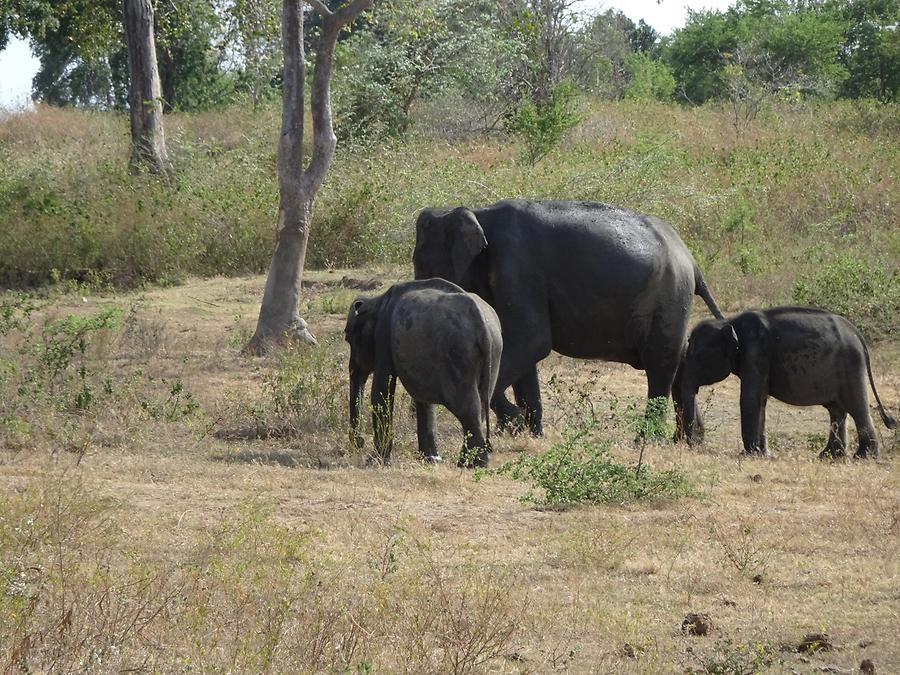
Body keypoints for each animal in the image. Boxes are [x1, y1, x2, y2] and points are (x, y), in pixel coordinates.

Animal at [344, 278, 502, 468]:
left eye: (349, 338)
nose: (359, 442)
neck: (377, 300)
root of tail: (482, 326)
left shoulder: (383, 336)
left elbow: (381, 391)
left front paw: (375, 461)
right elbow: (422, 400)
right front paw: (431, 459)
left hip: (457, 352)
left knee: (468, 407)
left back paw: (472, 464)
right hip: (494, 353)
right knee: (482, 403)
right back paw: (469, 462)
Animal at [414, 198, 724, 436]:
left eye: (420, 264)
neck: (479, 213)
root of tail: (691, 261)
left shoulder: (517, 266)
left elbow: (531, 340)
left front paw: (514, 422)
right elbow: (521, 348)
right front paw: (530, 432)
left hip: (669, 298)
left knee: (661, 364)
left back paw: (648, 441)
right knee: (679, 362)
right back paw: (691, 439)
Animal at [672, 308, 896, 460]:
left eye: (697, 357)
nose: (692, 443)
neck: (731, 321)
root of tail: (858, 335)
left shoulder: (757, 352)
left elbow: (750, 398)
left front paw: (748, 454)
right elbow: (760, 401)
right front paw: (763, 454)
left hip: (850, 366)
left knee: (856, 407)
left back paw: (863, 456)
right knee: (837, 410)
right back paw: (830, 456)